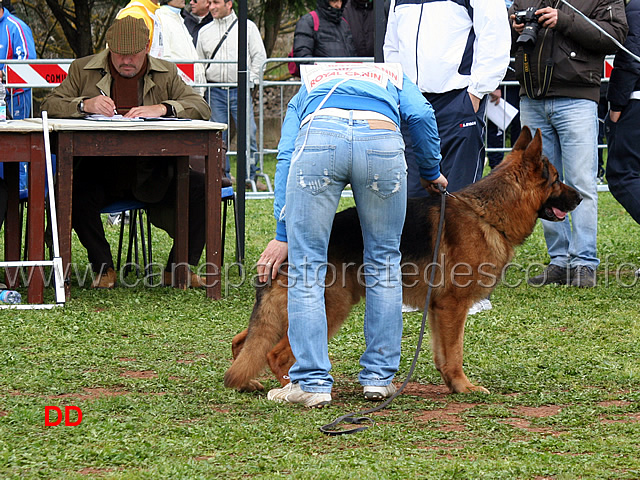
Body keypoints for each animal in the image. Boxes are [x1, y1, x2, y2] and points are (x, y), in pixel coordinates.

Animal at [222, 126, 584, 394]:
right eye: (556, 179)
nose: (581, 196)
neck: (488, 214)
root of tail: (285, 248)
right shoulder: (452, 307)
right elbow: (455, 353)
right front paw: (463, 387)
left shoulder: (438, 310)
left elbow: (443, 355)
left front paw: (452, 385)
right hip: (331, 307)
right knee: (277, 354)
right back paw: (293, 388)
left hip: (284, 313)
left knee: (243, 341)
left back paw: (249, 383)